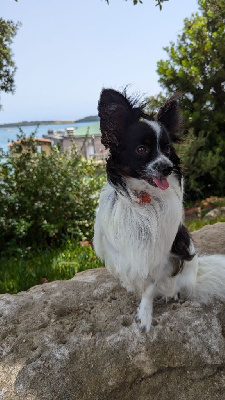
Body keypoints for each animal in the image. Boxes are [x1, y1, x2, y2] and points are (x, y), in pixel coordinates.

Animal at [92, 89, 225, 332]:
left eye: (167, 149)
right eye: (141, 149)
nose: (167, 167)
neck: (143, 198)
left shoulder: (159, 255)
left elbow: (149, 288)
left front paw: (145, 315)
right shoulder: (120, 252)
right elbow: (129, 272)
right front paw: (131, 287)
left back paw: (172, 294)